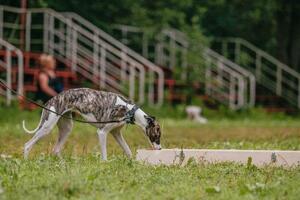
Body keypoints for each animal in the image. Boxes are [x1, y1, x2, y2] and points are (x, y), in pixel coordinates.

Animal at [22, 88, 162, 160]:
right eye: (157, 135)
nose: (160, 149)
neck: (128, 109)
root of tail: (51, 100)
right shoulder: (102, 132)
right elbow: (104, 155)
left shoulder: (116, 133)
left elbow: (128, 151)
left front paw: (132, 163)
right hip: (47, 127)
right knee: (27, 145)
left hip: (66, 128)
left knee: (56, 150)